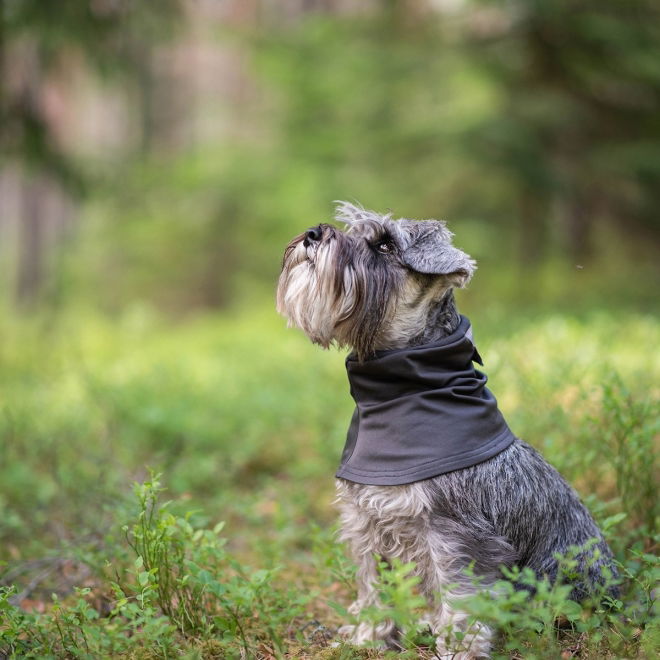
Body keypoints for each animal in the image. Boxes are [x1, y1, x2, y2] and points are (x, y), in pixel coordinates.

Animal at [276, 202, 616, 660]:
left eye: (385, 245)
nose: (313, 234)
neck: (398, 396)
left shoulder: (454, 535)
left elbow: (461, 600)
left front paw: (457, 649)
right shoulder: (366, 523)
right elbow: (374, 589)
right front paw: (369, 638)